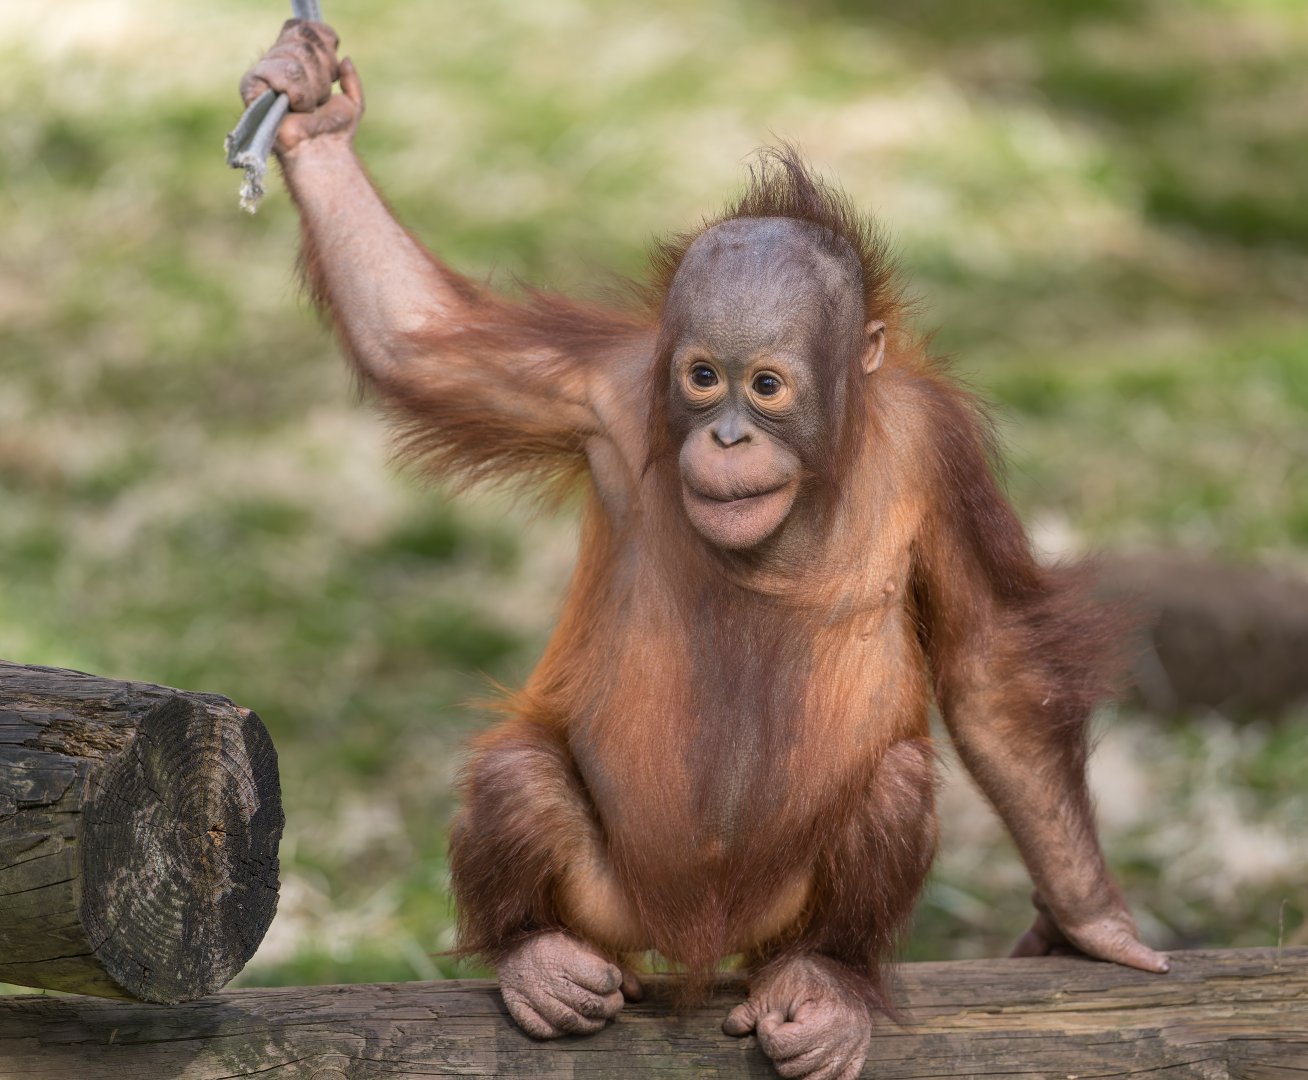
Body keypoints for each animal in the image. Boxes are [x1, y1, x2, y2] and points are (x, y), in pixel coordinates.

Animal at [240, 20, 1168, 1080]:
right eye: (700, 376)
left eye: (765, 385)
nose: (725, 437)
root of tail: (691, 941)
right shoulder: (603, 389)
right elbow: (416, 338)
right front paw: (310, 112)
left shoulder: (942, 449)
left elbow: (995, 668)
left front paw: (1091, 921)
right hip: (609, 904)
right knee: (519, 775)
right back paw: (536, 958)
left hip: (777, 914)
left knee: (895, 785)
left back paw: (827, 983)